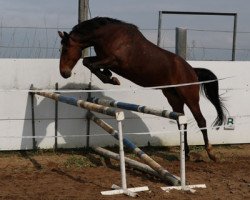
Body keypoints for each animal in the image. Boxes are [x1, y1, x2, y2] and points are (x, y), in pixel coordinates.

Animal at [57, 16, 226, 161]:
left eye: (65, 49)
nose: (64, 73)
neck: (108, 36)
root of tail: (192, 71)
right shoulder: (104, 59)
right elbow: (87, 61)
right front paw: (109, 76)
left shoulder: (114, 60)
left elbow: (90, 63)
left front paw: (111, 78)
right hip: (173, 97)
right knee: (181, 122)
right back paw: (186, 154)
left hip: (189, 96)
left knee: (201, 120)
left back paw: (211, 153)